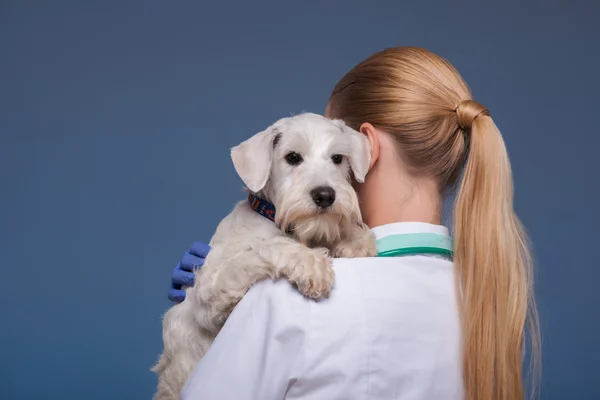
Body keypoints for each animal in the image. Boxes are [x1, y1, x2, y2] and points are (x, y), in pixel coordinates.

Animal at [151, 113, 376, 400]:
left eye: (337, 158)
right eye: (292, 157)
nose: (325, 195)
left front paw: (355, 239)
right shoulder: (211, 291)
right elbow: (263, 249)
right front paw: (312, 263)